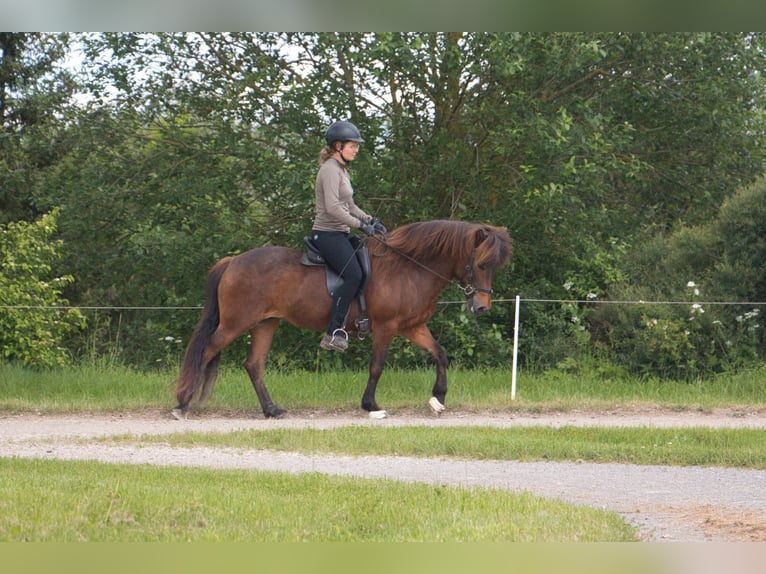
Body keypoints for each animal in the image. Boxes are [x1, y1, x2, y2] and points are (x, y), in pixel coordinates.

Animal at [171, 218, 512, 420]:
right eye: (481, 264)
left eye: (495, 265)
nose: (481, 307)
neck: (410, 267)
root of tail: (232, 262)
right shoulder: (387, 327)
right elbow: (377, 366)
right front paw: (371, 406)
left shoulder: (412, 326)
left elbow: (440, 354)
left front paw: (438, 399)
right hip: (234, 324)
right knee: (205, 351)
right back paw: (182, 404)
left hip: (266, 323)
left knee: (253, 364)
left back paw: (271, 410)